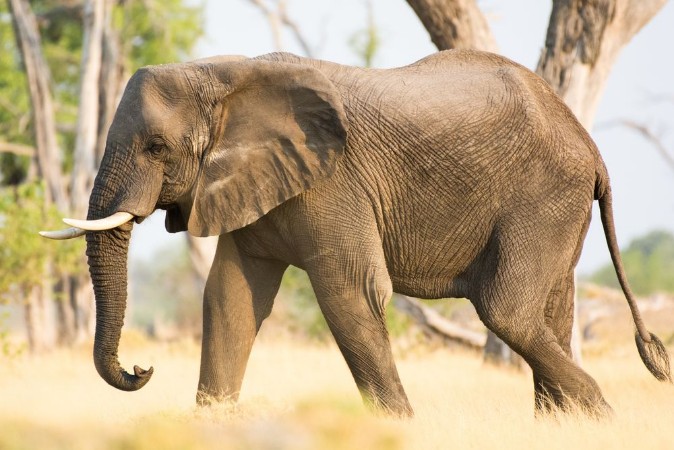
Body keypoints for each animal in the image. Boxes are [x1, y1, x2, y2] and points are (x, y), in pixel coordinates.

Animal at [42, 49, 671, 417]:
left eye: (156, 147)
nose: (141, 369)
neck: (222, 74)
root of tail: (589, 143)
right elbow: (229, 298)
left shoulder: (333, 182)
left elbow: (350, 292)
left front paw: (400, 427)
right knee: (551, 311)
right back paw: (564, 425)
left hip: (542, 199)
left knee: (507, 309)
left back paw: (601, 416)